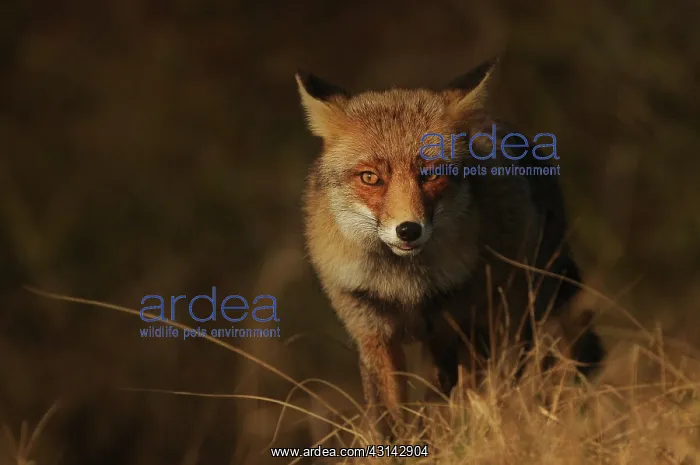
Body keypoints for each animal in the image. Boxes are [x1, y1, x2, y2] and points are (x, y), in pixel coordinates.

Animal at [295, 58, 606, 434]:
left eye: (430, 175)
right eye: (370, 178)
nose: (408, 230)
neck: (408, 287)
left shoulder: (472, 325)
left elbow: (469, 399)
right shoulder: (372, 329)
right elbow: (389, 417)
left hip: (512, 317)